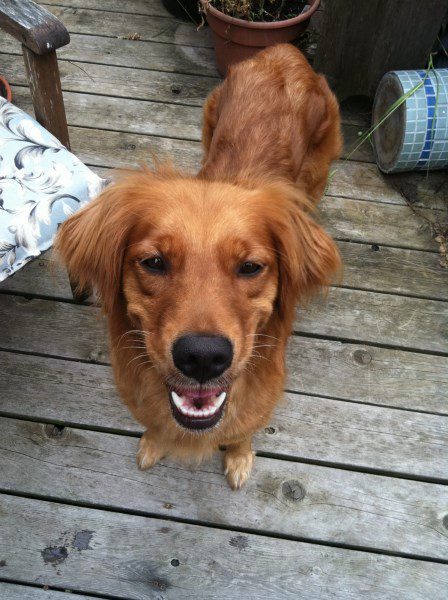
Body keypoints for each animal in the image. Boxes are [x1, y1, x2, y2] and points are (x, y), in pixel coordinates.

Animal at [57, 45, 342, 488]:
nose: (204, 357)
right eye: (154, 262)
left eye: (250, 267)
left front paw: (240, 457)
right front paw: (155, 442)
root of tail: (285, 51)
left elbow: (244, 429)